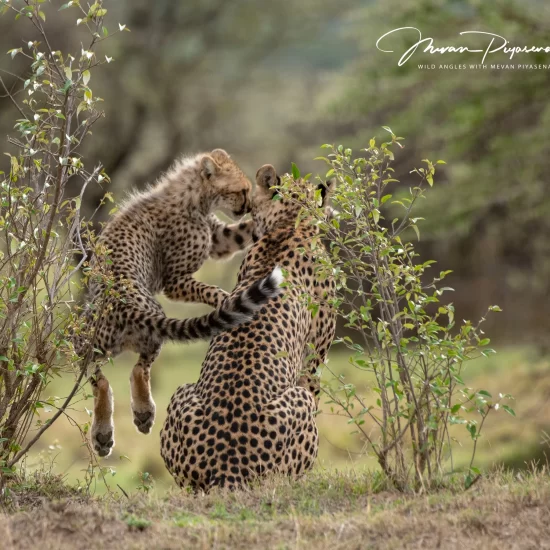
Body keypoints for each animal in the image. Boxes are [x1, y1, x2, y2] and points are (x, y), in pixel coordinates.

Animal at [75, 150, 282, 458]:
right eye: (240, 191)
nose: (246, 205)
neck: (192, 197)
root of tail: (125, 305)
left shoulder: (219, 239)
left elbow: (246, 231)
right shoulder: (174, 281)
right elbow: (209, 290)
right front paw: (225, 300)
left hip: (91, 343)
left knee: (111, 374)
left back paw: (117, 426)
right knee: (131, 371)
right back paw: (130, 419)